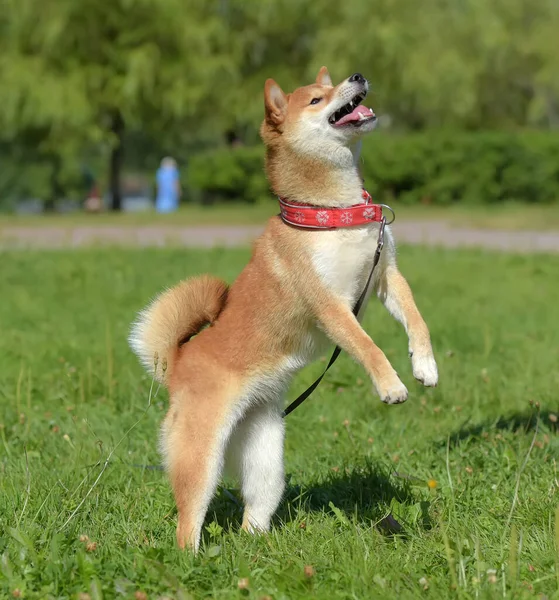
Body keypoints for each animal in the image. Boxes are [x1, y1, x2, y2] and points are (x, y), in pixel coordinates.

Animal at [130, 68, 438, 552]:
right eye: (316, 99)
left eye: (330, 86)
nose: (357, 75)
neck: (330, 211)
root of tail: (180, 360)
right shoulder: (330, 305)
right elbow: (366, 346)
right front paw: (391, 385)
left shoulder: (385, 274)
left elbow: (417, 321)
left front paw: (425, 364)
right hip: (201, 458)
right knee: (188, 522)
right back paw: (194, 559)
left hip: (265, 457)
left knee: (255, 508)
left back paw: (255, 549)